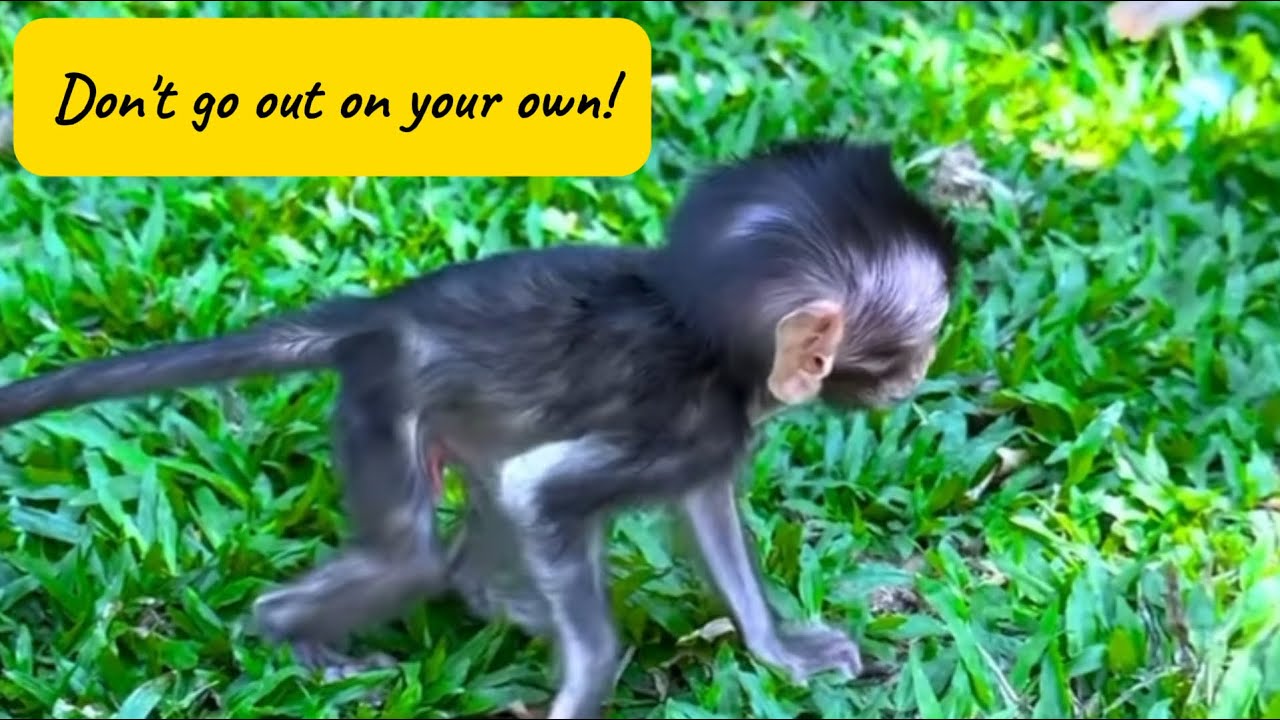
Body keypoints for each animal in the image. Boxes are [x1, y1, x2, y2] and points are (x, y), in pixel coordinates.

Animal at [0, 138, 958, 718]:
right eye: (918, 338)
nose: (922, 371)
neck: (714, 343)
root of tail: (383, 315)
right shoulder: (685, 421)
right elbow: (545, 494)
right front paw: (585, 682)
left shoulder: (708, 441)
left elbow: (704, 514)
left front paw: (775, 649)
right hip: (384, 401)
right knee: (417, 554)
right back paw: (294, 634)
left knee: (481, 496)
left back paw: (487, 595)